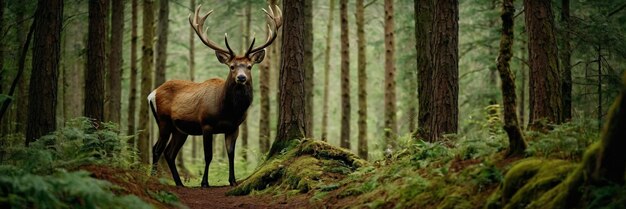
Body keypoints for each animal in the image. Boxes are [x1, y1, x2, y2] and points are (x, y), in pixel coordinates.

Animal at [147, 4, 282, 187]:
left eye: (249, 66)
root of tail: (152, 93)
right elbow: (208, 155)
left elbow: (231, 154)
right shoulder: (206, 124)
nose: (241, 78)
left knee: (169, 152)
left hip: (180, 129)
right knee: (157, 148)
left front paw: (233, 181)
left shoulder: (234, 127)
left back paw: (179, 183)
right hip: (163, 120)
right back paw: (153, 179)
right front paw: (204, 182)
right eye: (232, 66)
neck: (228, 110)